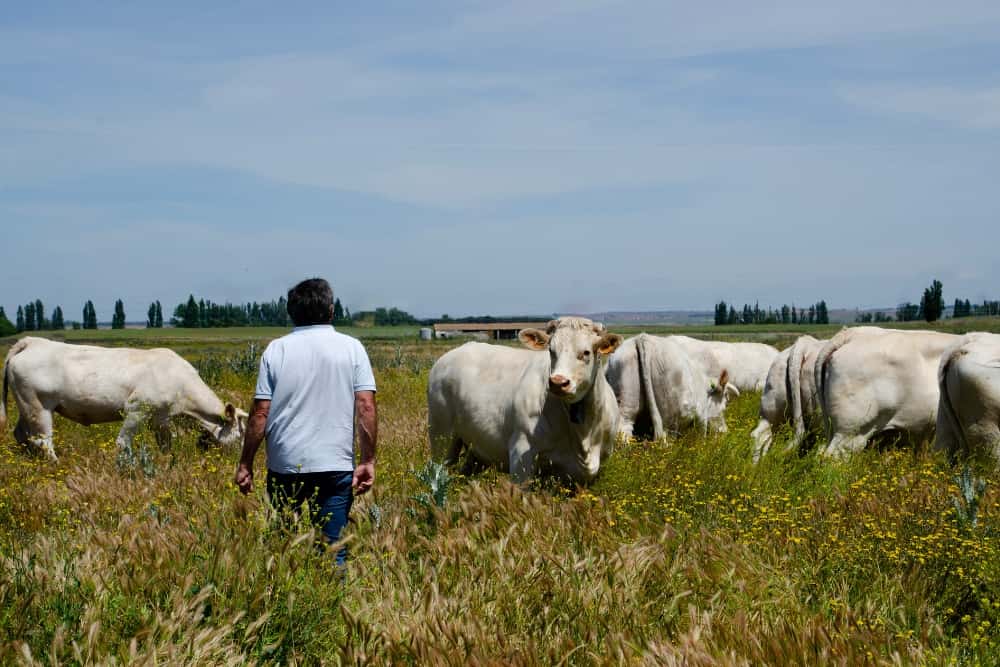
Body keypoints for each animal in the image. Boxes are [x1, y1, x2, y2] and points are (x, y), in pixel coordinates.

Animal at [1, 337, 248, 461]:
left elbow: (166, 445)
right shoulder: (136, 410)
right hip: (38, 406)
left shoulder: (160, 419)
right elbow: (123, 443)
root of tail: (32, 341)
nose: (241, 460)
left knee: (22, 434)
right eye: (240, 436)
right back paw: (55, 464)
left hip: (25, 406)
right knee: (43, 440)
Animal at [606, 333, 739, 442]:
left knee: (623, 431)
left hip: (626, 402)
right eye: (724, 405)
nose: (724, 431)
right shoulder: (702, 417)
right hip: (668, 418)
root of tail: (642, 338)